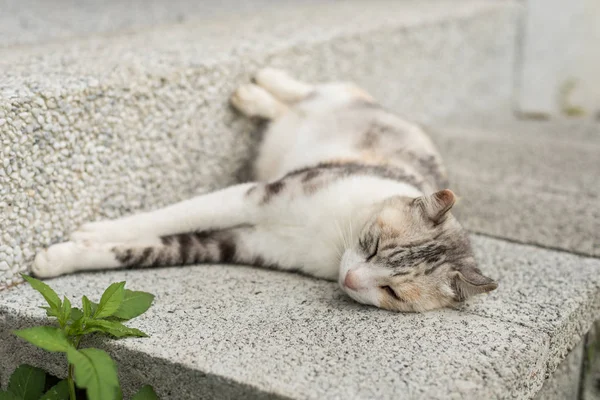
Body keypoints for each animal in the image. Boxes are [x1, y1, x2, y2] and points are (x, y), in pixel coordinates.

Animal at [31, 69, 496, 312]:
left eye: (393, 292)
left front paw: (60, 257)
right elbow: (172, 213)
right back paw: (258, 86)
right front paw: (96, 230)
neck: (333, 237)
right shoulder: (251, 195)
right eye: (373, 244)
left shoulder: (239, 242)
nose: (350, 277)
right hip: (345, 103)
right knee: (319, 91)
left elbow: (149, 249)